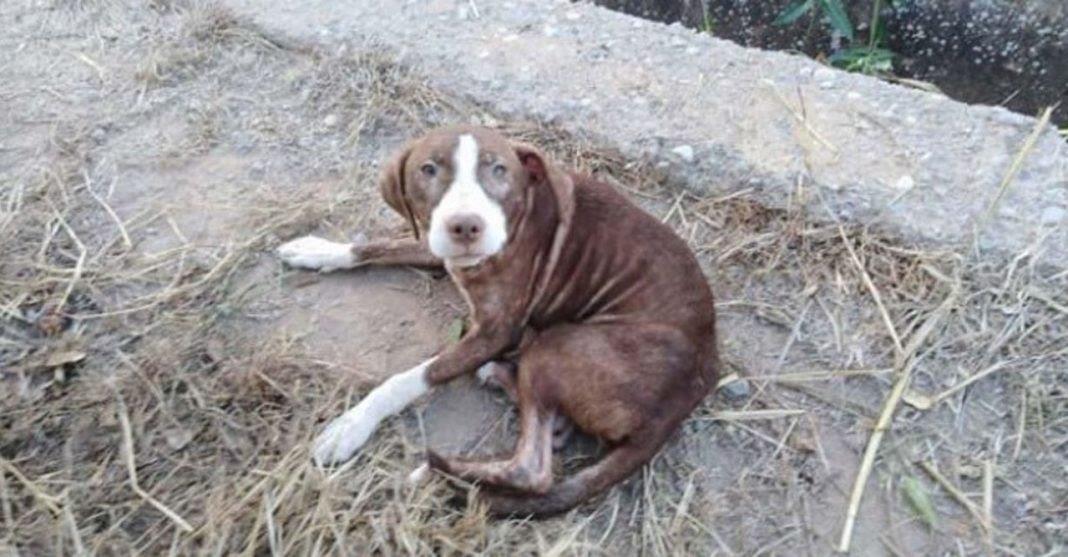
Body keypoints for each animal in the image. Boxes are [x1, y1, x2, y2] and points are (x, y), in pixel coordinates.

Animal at [279, 125, 721, 516]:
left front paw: (351, 425)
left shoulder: (496, 331)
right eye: (428, 169)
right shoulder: (434, 244)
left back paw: (439, 474)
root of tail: (687, 395)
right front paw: (321, 251)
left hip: (558, 345)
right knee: (547, 434)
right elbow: (377, 246)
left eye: (498, 170)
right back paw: (503, 383)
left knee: (533, 471)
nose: (465, 226)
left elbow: (411, 378)